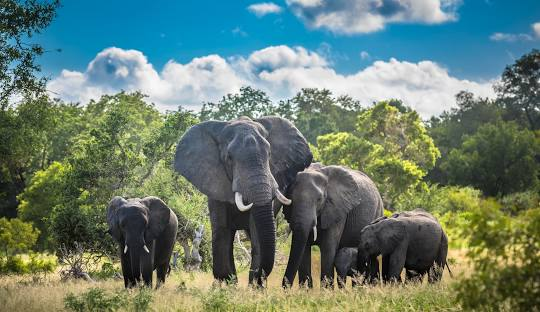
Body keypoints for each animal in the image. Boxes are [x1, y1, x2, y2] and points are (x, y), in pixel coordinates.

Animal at [173, 115, 312, 286]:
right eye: (229, 158)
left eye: (269, 154)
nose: (260, 277)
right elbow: (222, 229)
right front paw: (228, 285)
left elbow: (256, 231)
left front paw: (254, 285)